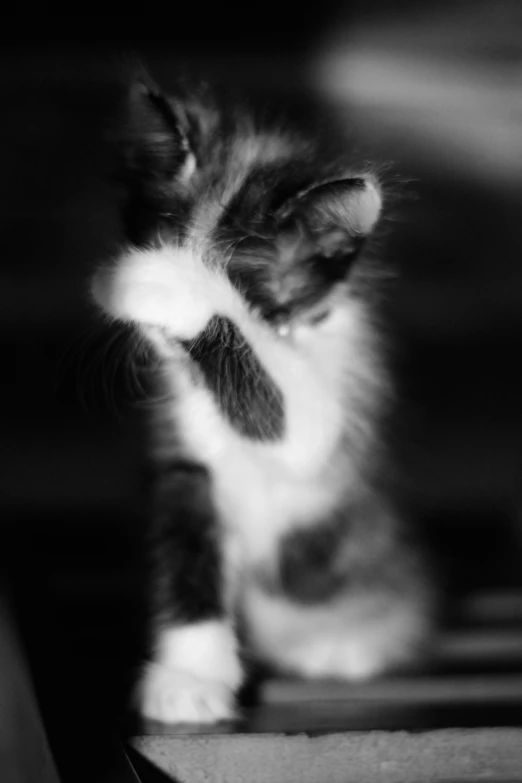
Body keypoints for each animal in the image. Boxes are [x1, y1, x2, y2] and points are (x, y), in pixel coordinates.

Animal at [89, 76, 430, 724]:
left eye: (235, 280)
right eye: (156, 234)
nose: (154, 329)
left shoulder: (334, 398)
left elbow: (298, 423)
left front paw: (169, 288)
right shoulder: (183, 465)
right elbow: (189, 558)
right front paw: (191, 677)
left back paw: (346, 641)